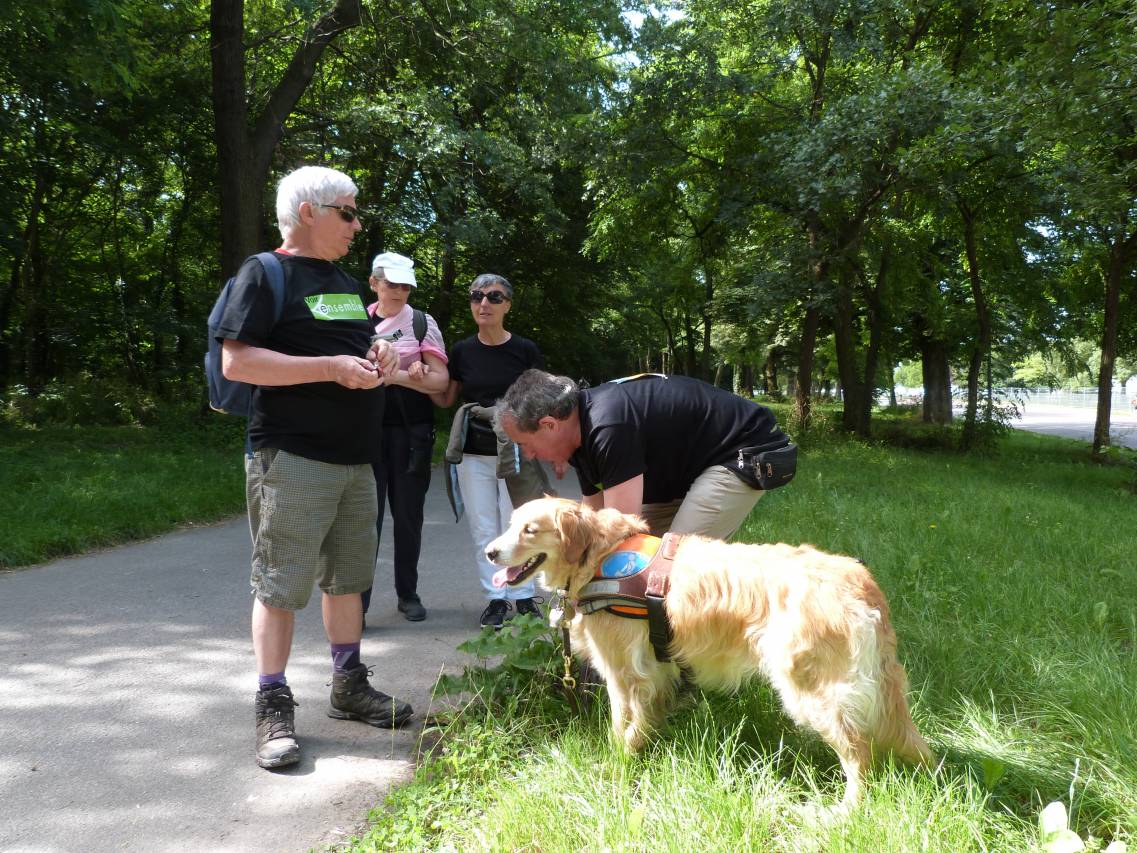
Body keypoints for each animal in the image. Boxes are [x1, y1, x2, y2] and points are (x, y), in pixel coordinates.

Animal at [484, 500, 927, 814]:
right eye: (510, 523)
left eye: (530, 529)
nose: (489, 552)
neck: (599, 555)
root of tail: (859, 581)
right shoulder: (653, 672)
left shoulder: (624, 673)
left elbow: (621, 727)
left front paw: (617, 762)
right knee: (912, 744)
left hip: (814, 692)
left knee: (859, 754)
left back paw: (846, 811)